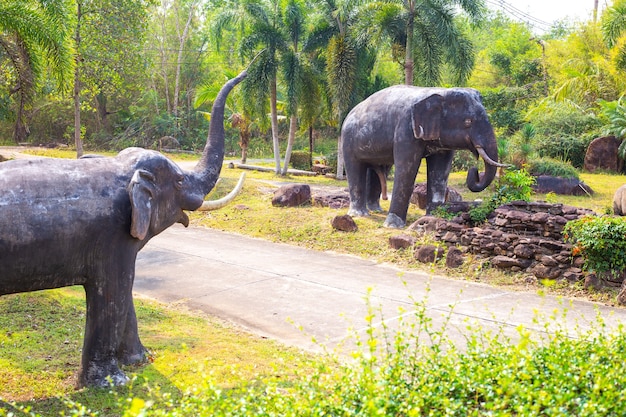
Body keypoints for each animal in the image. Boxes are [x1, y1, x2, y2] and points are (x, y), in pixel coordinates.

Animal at [0, 69, 247, 386]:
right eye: (179, 180)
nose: (247, 71)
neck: (120, 169)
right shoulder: (110, 236)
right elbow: (115, 290)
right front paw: (111, 382)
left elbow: (124, 294)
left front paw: (139, 360)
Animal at [342, 85, 502, 228]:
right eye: (468, 122)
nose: (474, 170)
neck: (439, 93)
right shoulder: (405, 130)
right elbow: (407, 170)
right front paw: (393, 226)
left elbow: (440, 172)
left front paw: (433, 218)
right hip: (348, 140)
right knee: (355, 168)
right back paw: (359, 214)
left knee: (380, 168)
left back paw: (376, 209)